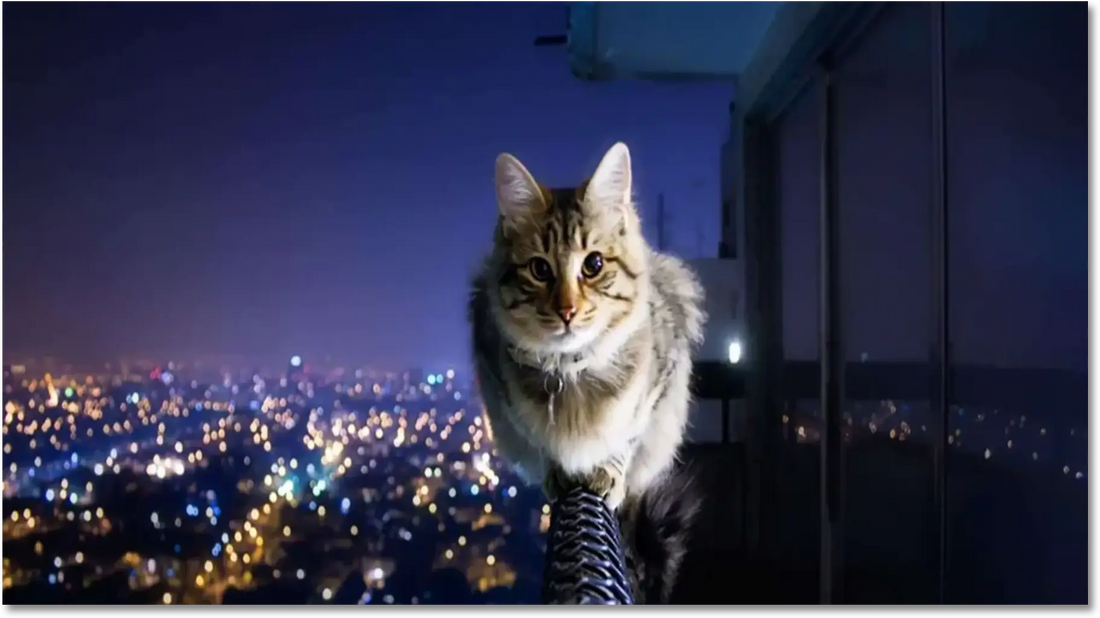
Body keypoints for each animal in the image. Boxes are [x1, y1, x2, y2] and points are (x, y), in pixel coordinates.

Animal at [464, 140, 704, 602]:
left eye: (593, 265)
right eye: (540, 269)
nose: (567, 311)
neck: (571, 371)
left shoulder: (658, 388)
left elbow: (626, 437)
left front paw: (608, 471)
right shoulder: (503, 399)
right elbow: (542, 442)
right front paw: (558, 470)